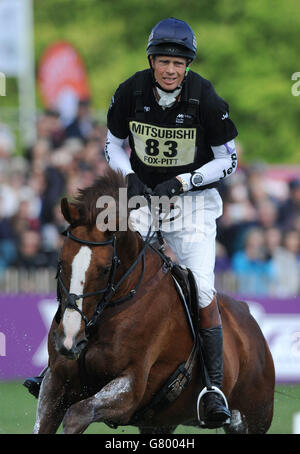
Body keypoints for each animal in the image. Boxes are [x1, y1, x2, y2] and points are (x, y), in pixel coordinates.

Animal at [32, 169, 274, 432]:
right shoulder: (55, 384)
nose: (69, 340)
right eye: (61, 263)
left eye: (105, 270)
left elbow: (77, 414)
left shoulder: (130, 389)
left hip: (250, 419)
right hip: (159, 423)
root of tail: (247, 315)